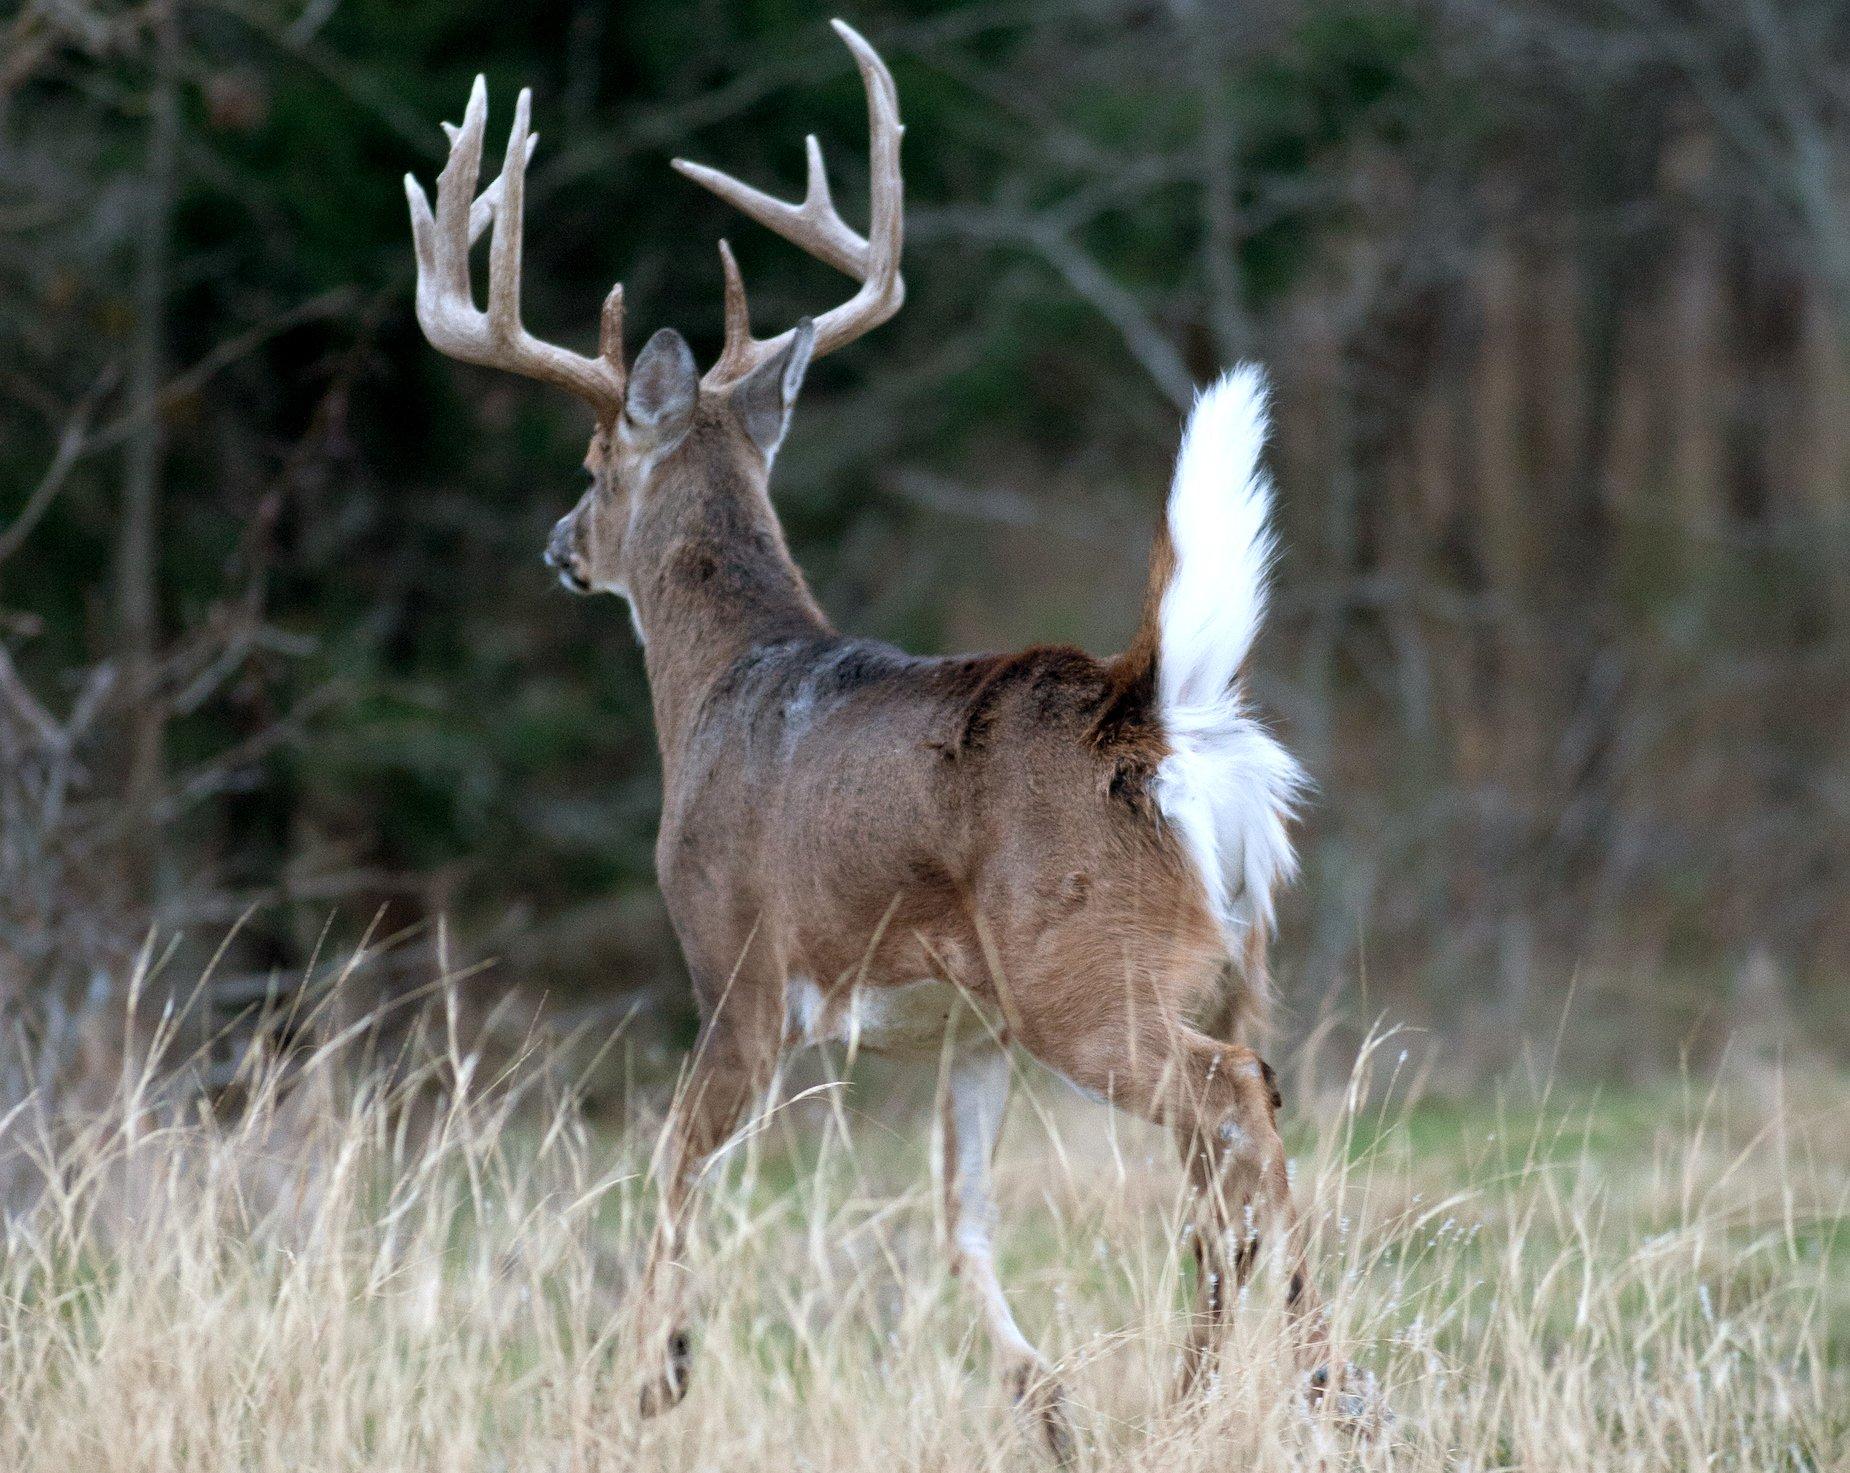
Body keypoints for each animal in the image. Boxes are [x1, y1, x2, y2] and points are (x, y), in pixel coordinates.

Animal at [408, 23, 1346, 1458]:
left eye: (591, 462)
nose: (559, 546)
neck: (719, 687)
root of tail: (1147, 703)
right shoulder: (962, 1032)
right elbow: (959, 1223)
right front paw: (1046, 1404)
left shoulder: (739, 969)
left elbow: (671, 1170)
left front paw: (651, 1381)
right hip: (1216, 959)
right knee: (1224, 1164)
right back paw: (1195, 1392)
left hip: (1088, 975)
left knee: (1236, 1103)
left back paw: (1314, 1381)